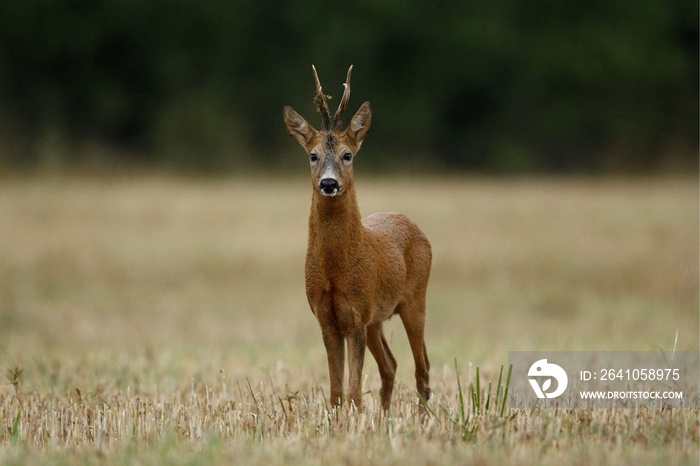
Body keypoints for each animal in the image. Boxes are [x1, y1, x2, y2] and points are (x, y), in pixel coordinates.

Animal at [284, 66, 432, 412]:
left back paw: (421, 418)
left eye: (347, 155)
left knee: (422, 369)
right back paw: (385, 418)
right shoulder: (327, 319)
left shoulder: (356, 317)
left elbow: (352, 393)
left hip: (414, 301)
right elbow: (336, 393)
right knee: (390, 366)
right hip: (377, 319)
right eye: (313, 155)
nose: (328, 183)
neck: (334, 270)